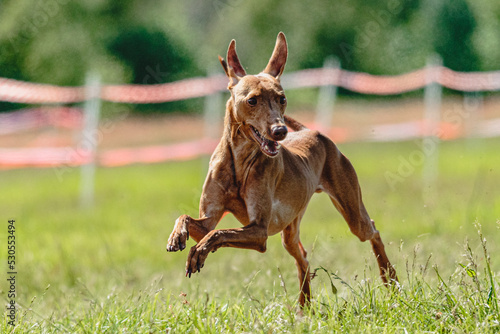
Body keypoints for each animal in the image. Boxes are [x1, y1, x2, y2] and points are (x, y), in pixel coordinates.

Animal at [166, 32, 396, 306]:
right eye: (252, 100)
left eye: (282, 99)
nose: (280, 131)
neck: (240, 163)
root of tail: (311, 131)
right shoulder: (208, 219)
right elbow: (189, 219)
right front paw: (177, 236)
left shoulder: (259, 231)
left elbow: (219, 234)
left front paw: (198, 251)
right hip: (291, 229)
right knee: (303, 258)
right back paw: (304, 307)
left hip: (352, 213)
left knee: (372, 230)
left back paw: (390, 278)